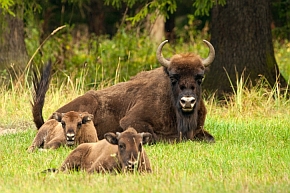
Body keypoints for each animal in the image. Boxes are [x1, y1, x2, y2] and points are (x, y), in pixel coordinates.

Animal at [32, 40, 216, 142]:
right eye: (173, 78)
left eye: (200, 77)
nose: (187, 101)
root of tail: (52, 116)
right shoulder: (131, 120)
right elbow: (158, 136)